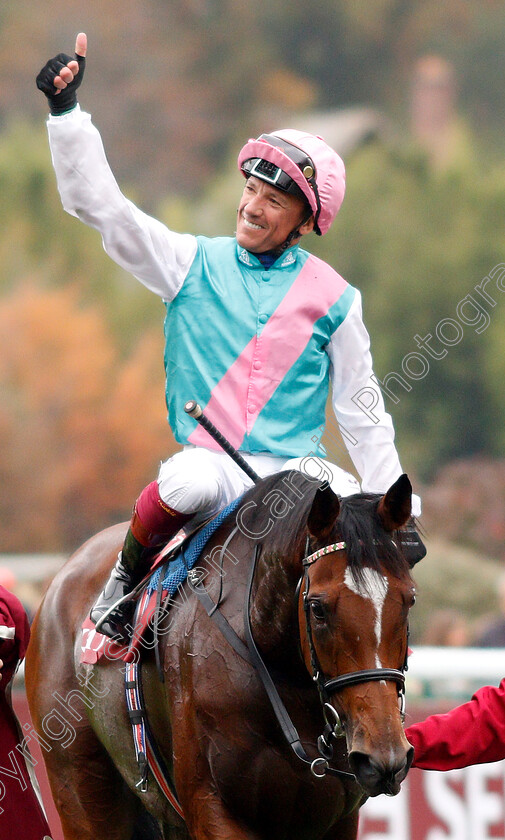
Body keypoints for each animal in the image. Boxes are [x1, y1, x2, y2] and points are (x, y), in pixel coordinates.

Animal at [25, 470, 416, 836]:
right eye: (317, 607)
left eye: (409, 599)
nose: (383, 756)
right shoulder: (211, 806)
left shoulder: (337, 819)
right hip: (82, 787)